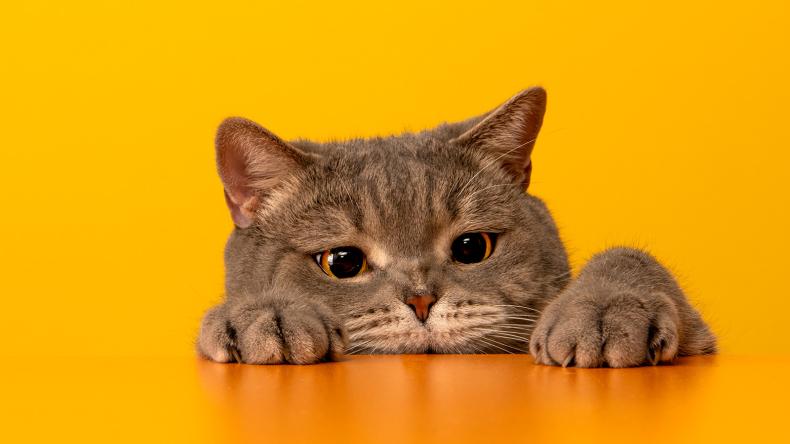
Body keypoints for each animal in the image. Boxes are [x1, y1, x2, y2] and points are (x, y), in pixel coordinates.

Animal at [197, 87, 716, 367]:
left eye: (471, 247)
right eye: (342, 262)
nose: (421, 301)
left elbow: (628, 256)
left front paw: (605, 307)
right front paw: (265, 313)